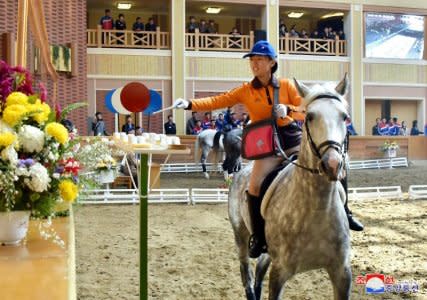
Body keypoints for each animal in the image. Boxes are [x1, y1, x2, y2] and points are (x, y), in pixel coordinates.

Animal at [229, 75, 352, 300]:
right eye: (310, 116)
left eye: (345, 117)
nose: (332, 164)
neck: (317, 207)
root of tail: (242, 169)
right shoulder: (280, 272)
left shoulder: (342, 273)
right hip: (240, 235)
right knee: (246, 271)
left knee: (259, 269)